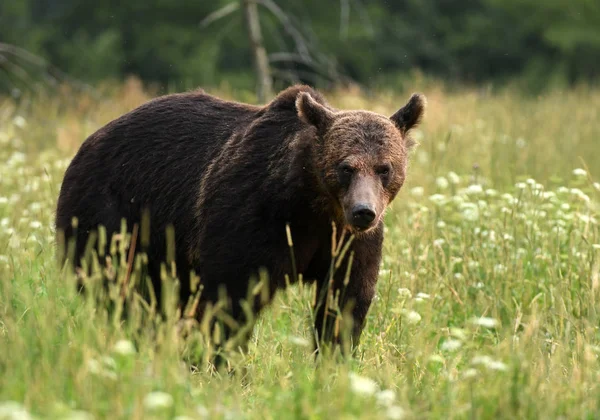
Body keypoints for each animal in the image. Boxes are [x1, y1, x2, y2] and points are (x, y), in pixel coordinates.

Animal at [54, 83, 424, 366]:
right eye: (346, 167)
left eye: (384, 168)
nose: (364, 212)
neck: (310, 203)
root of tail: (87, 143)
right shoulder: (250, 217)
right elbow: (231, 296)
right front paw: (225, 365)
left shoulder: (346, 242)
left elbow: (344, 300)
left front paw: (332, 363)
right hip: (111, 213)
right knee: (120, 286)